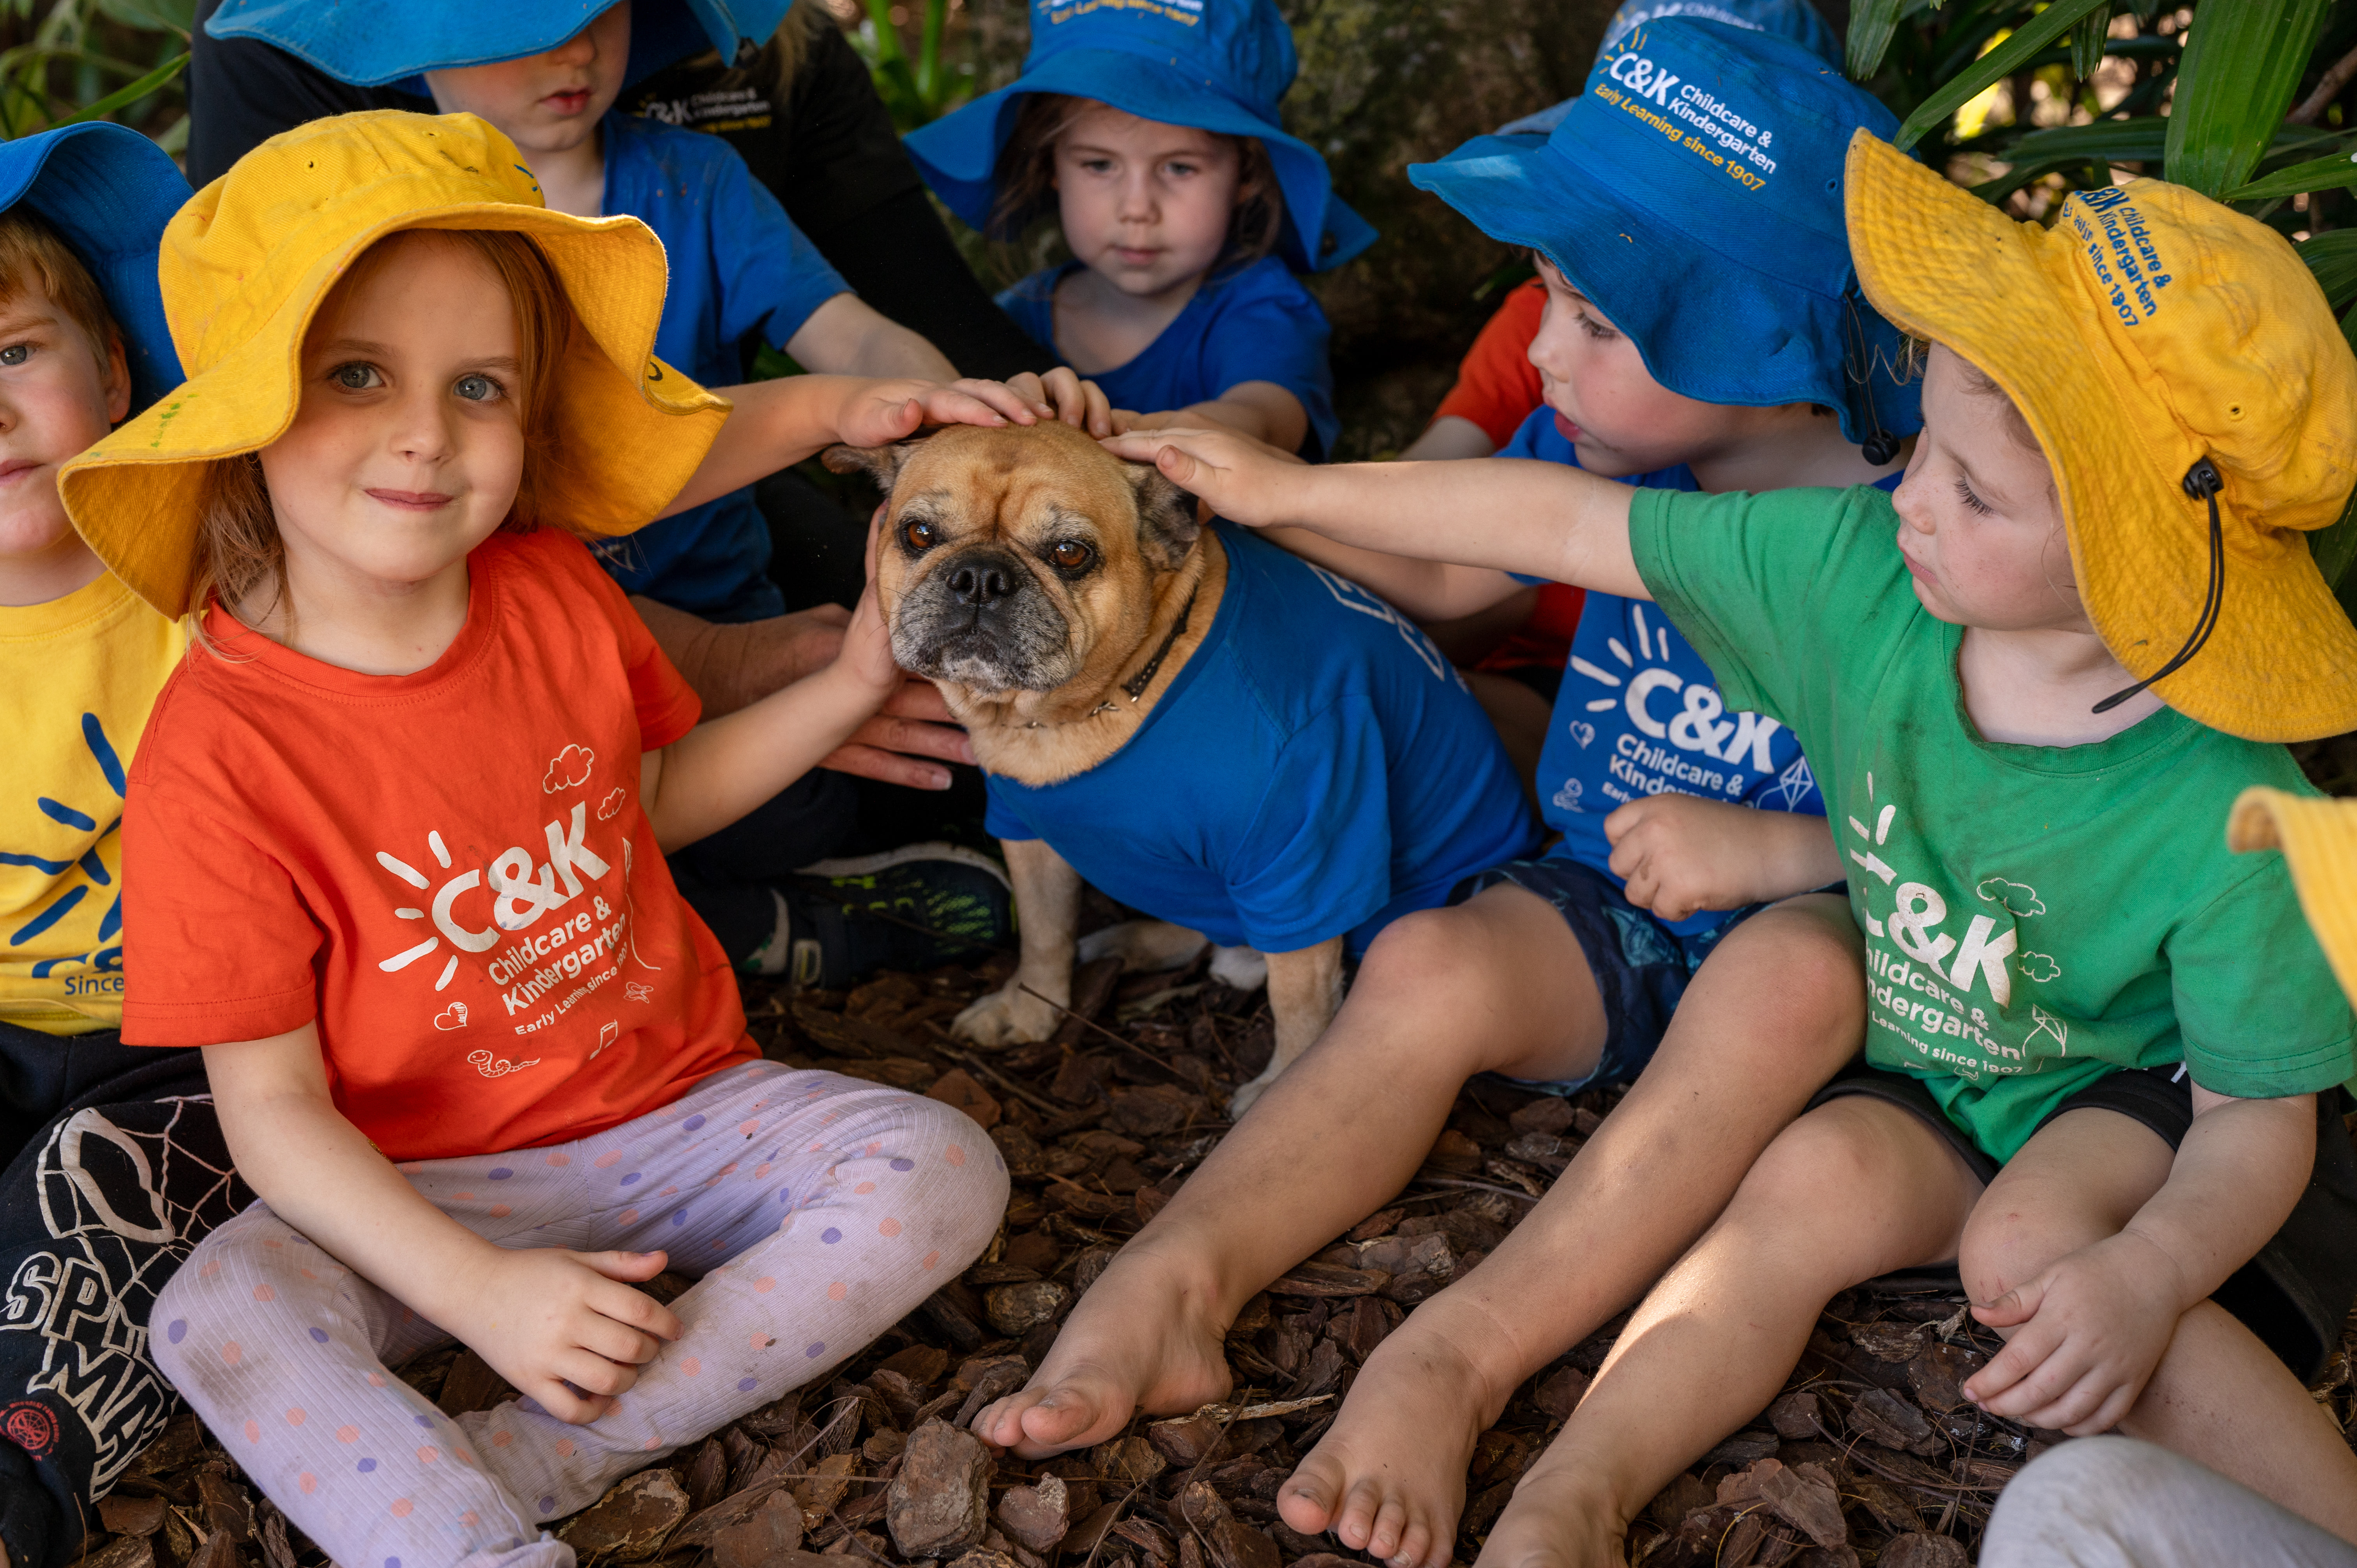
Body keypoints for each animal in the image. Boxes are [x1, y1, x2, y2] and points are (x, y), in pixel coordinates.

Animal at [829, 420, 1348, 1113]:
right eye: (918, 535)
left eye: (1070, 553)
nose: (979, 577)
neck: (1079, 712)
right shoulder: (1028, 840)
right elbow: (1043, 931)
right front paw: (1030, 1009)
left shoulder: (1296, 870)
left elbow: (1300, 1006)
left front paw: (1287, 1088)